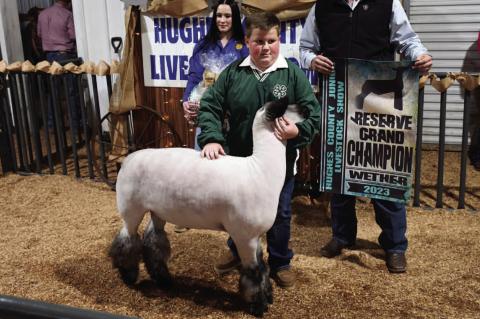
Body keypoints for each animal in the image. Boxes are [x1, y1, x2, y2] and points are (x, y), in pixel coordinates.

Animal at [109, 97, 304, 318]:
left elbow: (262, 268)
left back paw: (164, 280)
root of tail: (128, 160)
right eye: (289, 108)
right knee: (127, 239)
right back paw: (129, 276)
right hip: (131, 207)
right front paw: (258, 306)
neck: (261, 170)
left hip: (158, 210)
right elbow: (253, 272)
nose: (306, 110)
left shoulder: (255, 236)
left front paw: (268, 297)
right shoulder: (244, 235)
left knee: (153, 241)